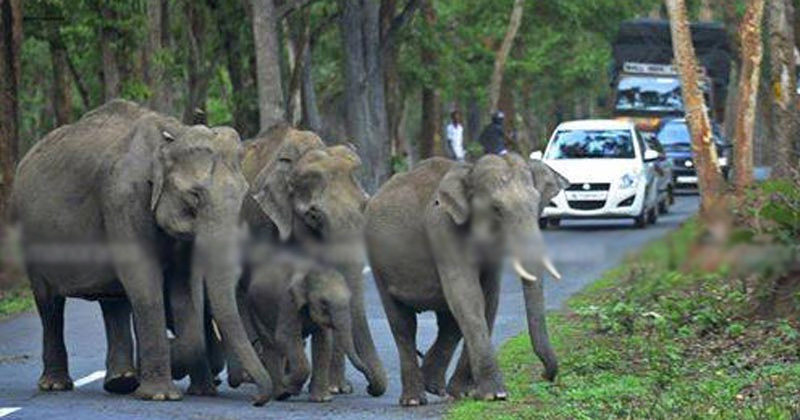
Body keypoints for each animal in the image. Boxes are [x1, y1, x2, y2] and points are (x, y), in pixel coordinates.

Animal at [9, 99, 274, 404]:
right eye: (194, 196)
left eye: (244, 194)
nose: (258, 400)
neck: (171, 135)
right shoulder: (122, 198)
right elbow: (143, 277)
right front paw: (160, 395)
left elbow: (183, 286)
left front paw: (195, 387)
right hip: (29, 234)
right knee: (49, 303)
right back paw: (56, 385)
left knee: (113, 300)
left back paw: (121, 381)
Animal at [245, 258, 380, 402]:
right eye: (324, 302)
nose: (369, 387)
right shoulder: (287, 303)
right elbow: (286, 336)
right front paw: (289, 385)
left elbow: (324, 341)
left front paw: (322, 399)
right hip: (256, 310)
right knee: (272, 343)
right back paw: (282, 393)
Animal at [366, 155, 564, 406]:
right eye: (496, 208)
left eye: (538, 204)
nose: (545, 376)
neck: (469, 171)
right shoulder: (442, 228)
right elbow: (468, 294)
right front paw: (496, 395)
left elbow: (488, 299)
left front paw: (467, 393)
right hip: (378, 263)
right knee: (403, 324)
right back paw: (414, 400)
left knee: (448, 322)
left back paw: (435, 386)